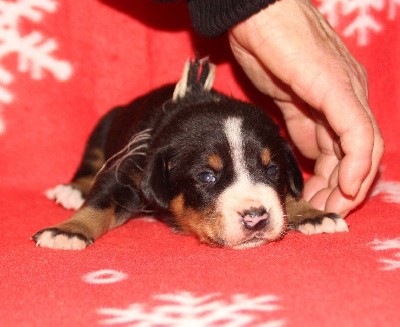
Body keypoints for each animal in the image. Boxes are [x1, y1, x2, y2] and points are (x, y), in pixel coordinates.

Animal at [32, 59, 348, 250]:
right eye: (207, 176)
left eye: (272, 170)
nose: (255, 218)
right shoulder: (128, 168)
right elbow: (99, 203)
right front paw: (68, 232)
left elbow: (288, 196)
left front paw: (313, 214)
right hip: (104, 125)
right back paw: (72, 190)